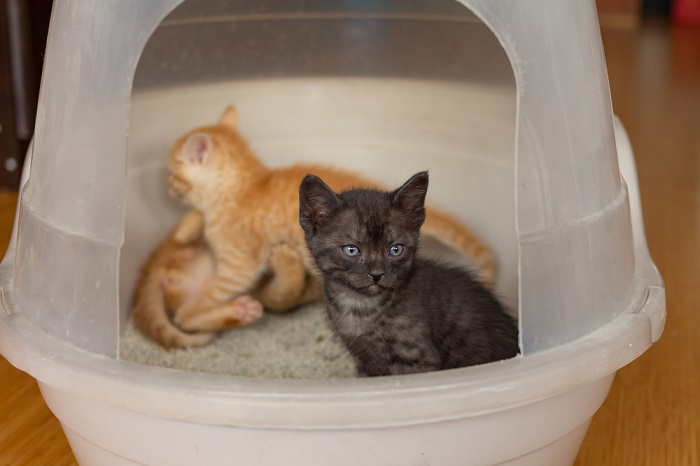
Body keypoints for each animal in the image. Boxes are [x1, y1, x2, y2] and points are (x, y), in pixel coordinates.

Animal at [152, 105, 492, 342]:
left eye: (171, 174)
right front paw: (186, 229)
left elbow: (202, 300)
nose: (166, 187)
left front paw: (187, 313)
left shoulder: (240, 265)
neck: (245, 187)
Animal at [298, 173, 516, 376]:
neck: (359, 305)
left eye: (395, 250)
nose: (377, 274)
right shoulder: (362, 358)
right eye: (351, 250)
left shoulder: (415, 358)